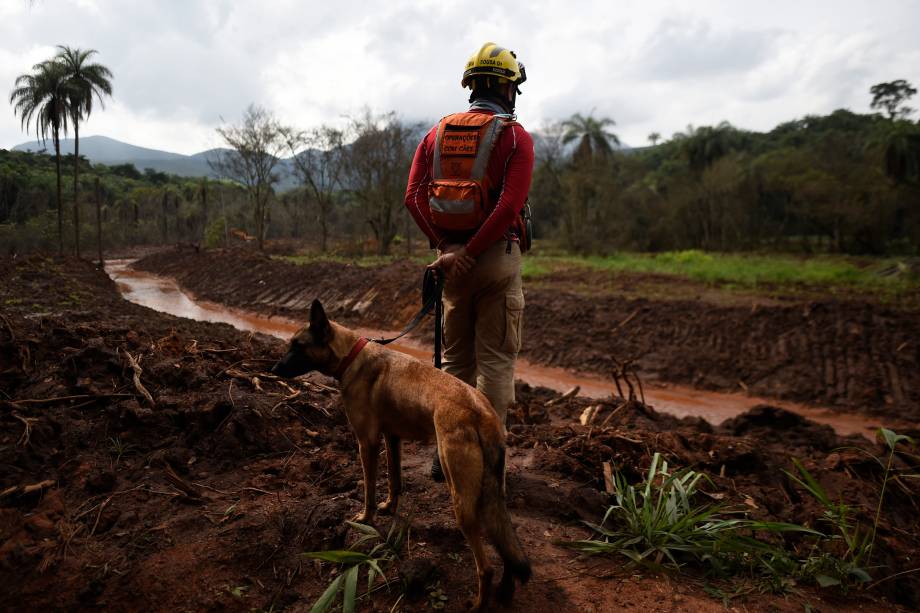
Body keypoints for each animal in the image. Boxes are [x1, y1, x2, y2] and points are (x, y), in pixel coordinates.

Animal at [272, 300, 532, 608]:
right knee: (504, 541)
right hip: (491, 493)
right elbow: (395, 480)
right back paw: (506, 590)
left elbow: (369, 489)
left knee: (486, 567)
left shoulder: (367, 442)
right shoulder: (391, 437)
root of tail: (480, 411)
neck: (351, 356)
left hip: (461, 496)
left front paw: (366, 519)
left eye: (298, 347)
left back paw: (479, 604)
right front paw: (389, 507)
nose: (273, 369)